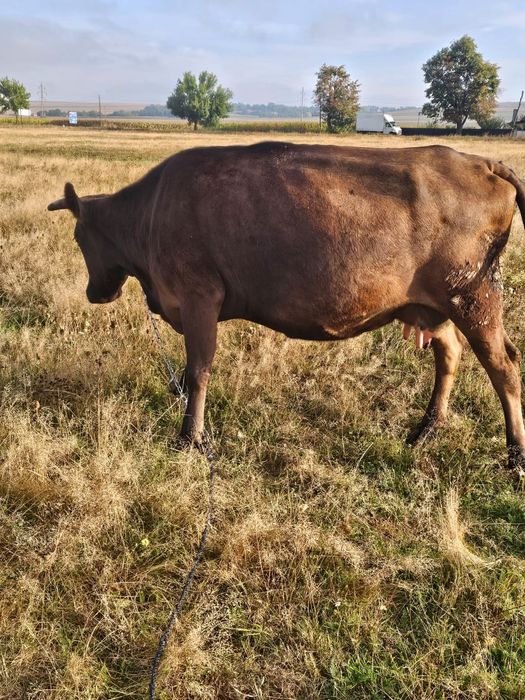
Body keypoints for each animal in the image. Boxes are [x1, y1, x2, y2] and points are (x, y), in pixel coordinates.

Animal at [48, 142, 525, 478]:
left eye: (78, 237)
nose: (95, 295)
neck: (150, 216)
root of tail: (481, 162)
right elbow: (189, 373)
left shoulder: (200, 295)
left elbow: (199, 370)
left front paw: (190, 439)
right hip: (428, 304)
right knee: (450, 353)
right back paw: (426, 429)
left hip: (474, 296)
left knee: (503, 367)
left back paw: (514, 455)